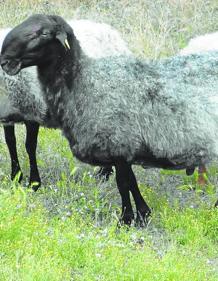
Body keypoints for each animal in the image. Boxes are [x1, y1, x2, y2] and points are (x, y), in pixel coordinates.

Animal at [0, 19, 132, 188]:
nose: (7, 62)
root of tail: (113, 33)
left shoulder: (33, 109)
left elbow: (30, 146)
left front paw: (34, 183)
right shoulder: (8, 113)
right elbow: (10, 143)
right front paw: (15, 177)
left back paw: (105, 174)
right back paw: (103, 174)